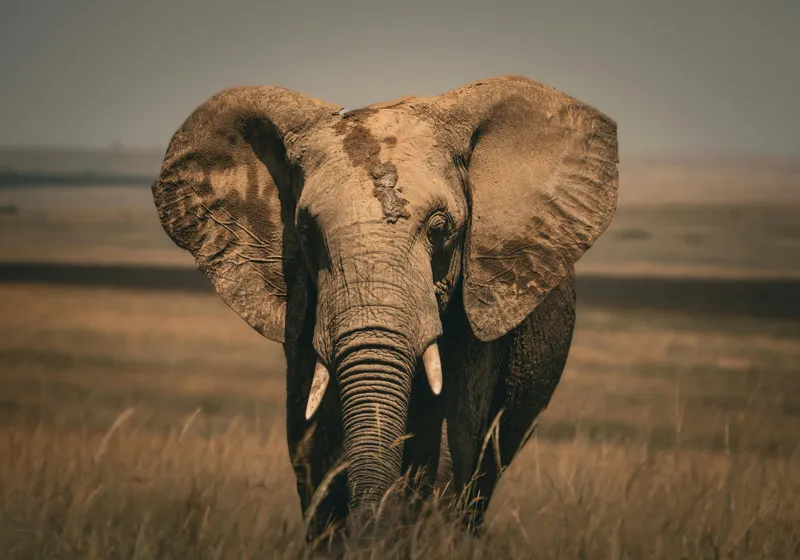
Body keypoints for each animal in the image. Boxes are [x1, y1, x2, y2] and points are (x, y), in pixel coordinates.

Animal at [151, 75, 618, 540]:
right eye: (306, 233)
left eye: (440, 229)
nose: (368, 526)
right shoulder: (303, 314)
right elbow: (312, 445)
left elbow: (447, 446)